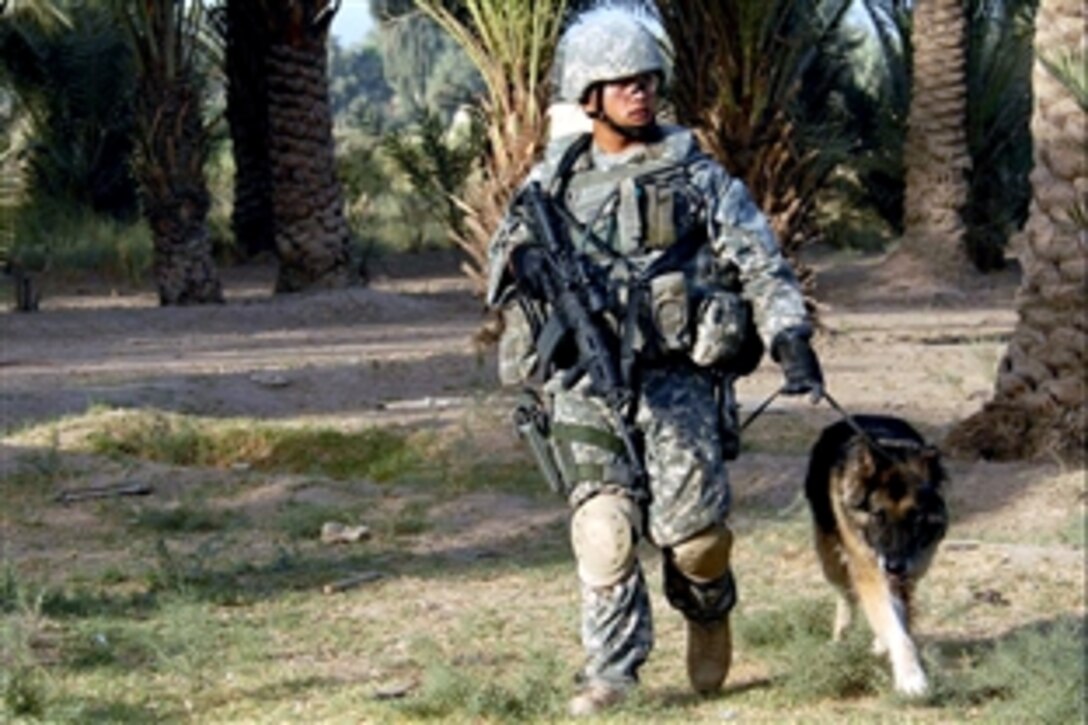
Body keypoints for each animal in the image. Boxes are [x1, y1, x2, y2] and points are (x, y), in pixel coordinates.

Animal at [805, 411, 948, 696]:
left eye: (915, 518)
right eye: (878, 515)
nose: (894, 567)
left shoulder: (908, 573)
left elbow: (901, 621)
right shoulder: (871, 572)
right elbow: (896, 631)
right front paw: (911, 677)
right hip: (830, 560)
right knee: (846, 595)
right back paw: (842, 636)